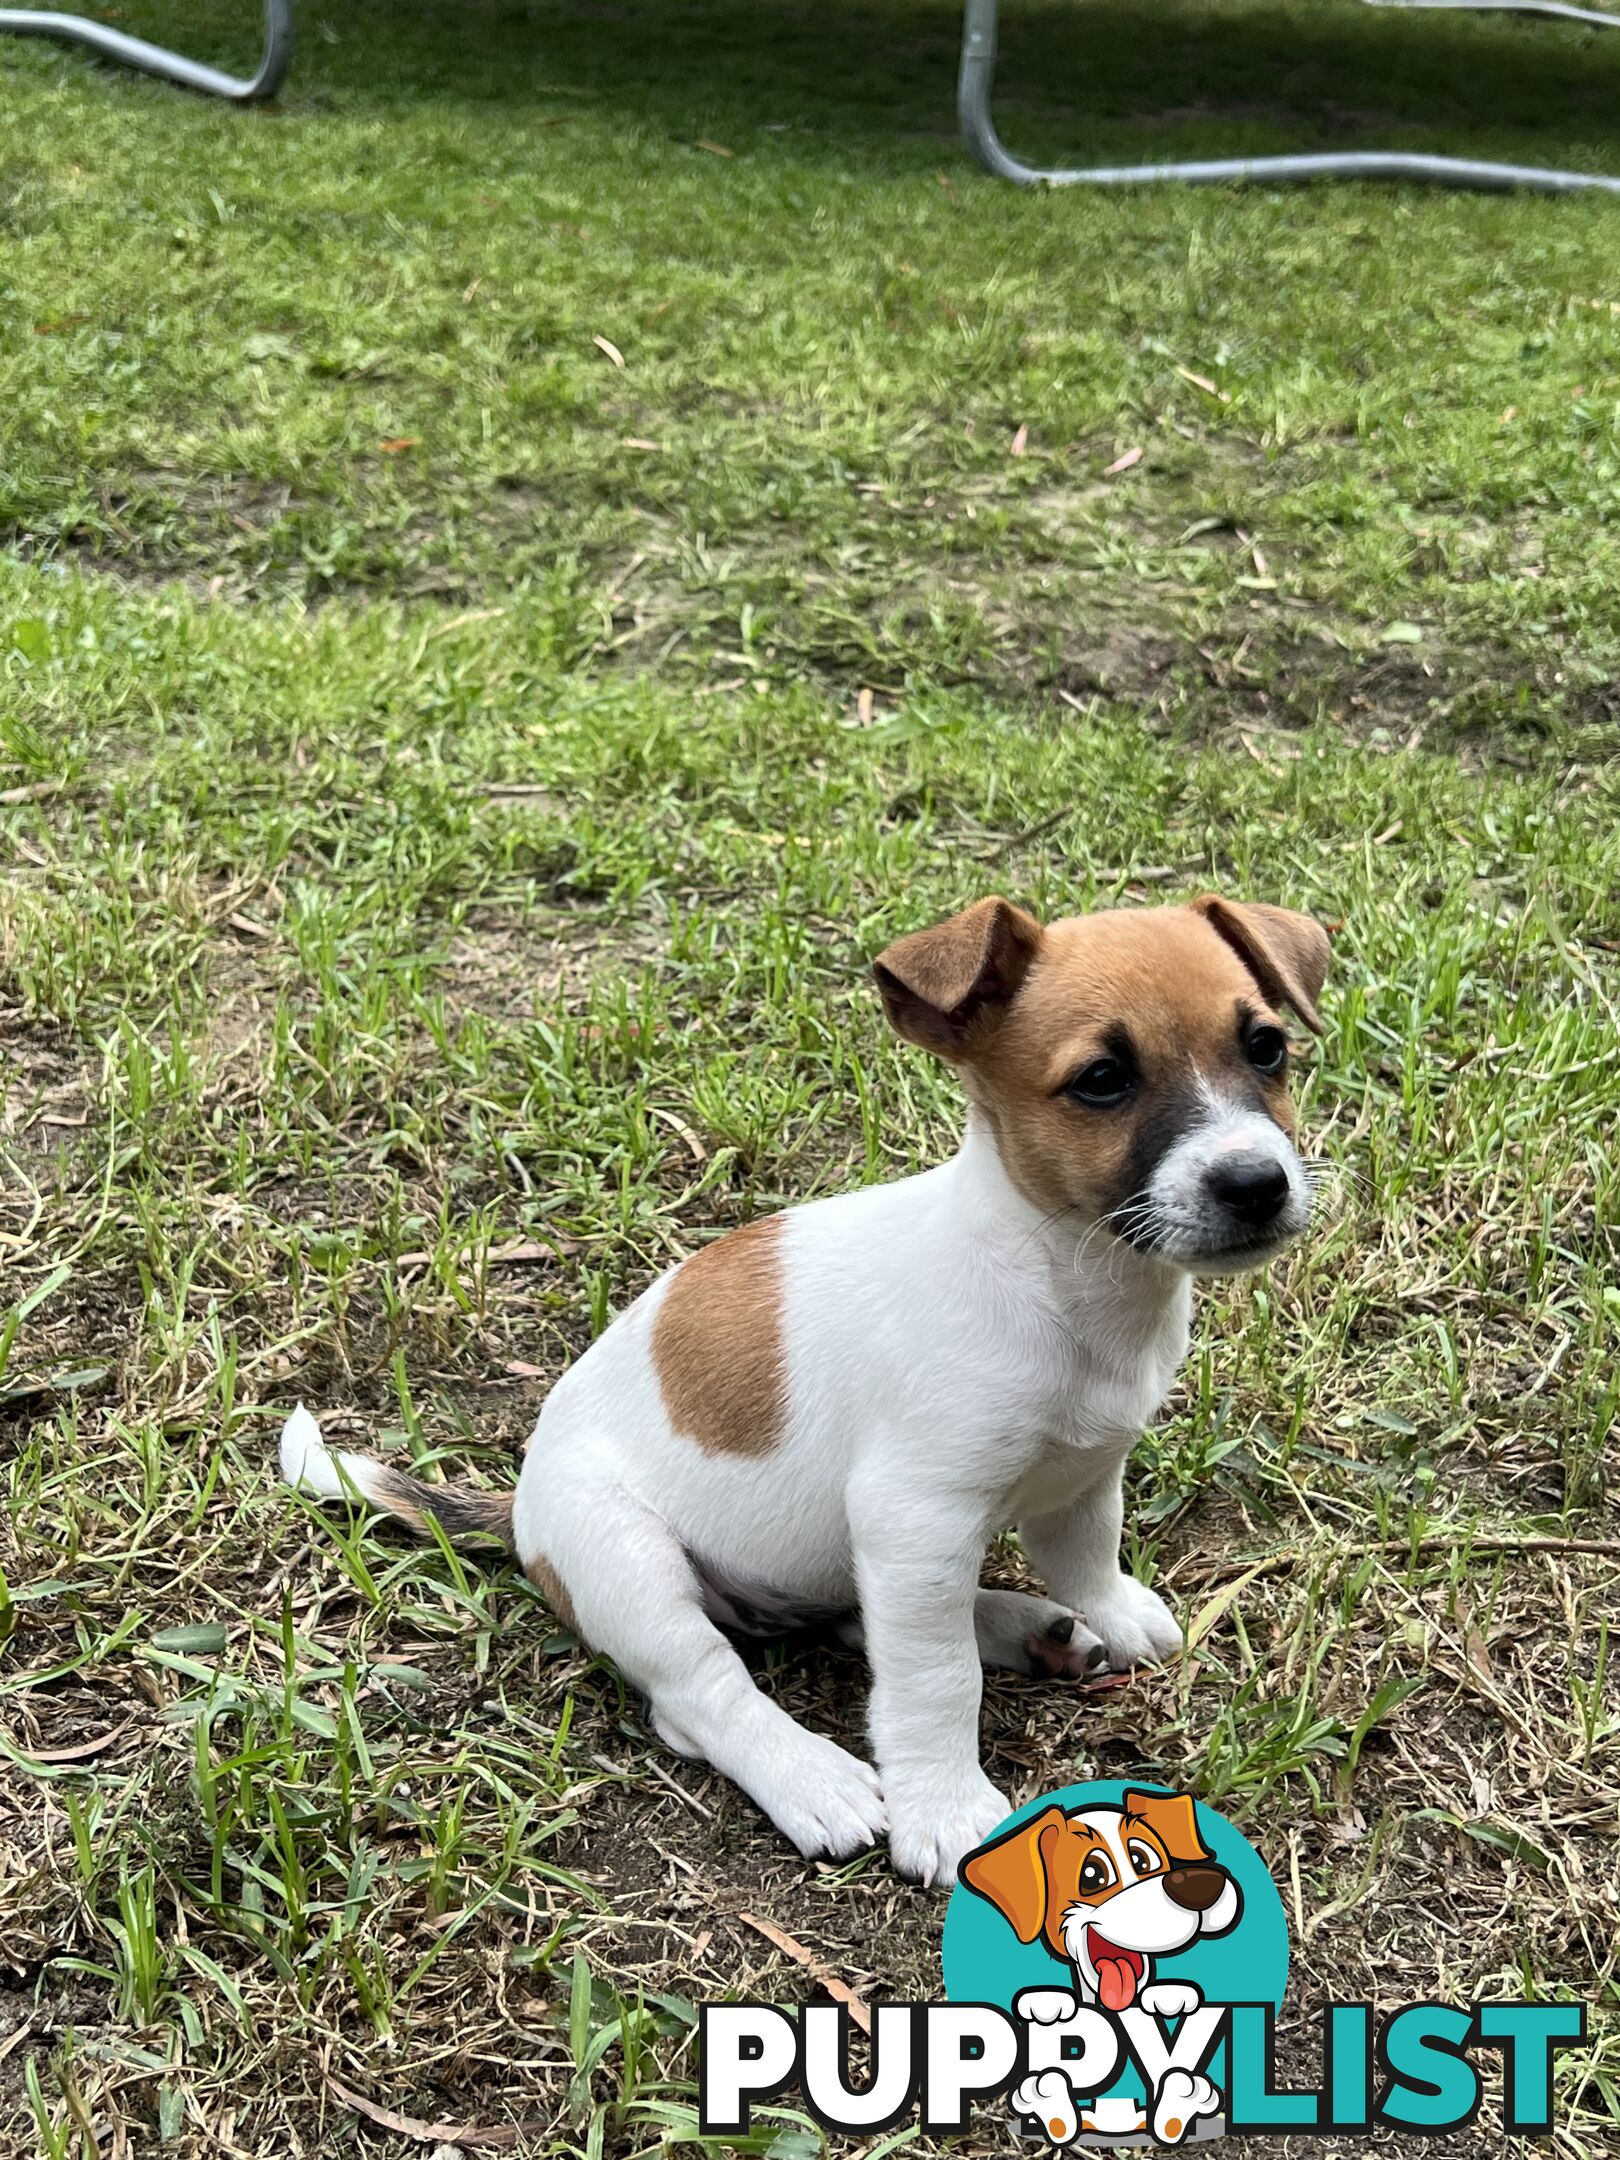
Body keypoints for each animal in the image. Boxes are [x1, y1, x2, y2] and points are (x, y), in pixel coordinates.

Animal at [278, 885, 1330, 1883]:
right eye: (1103, 1081)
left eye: (1267, 1048)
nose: (1255, 1183)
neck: (1060, 1281)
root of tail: (520, 1504)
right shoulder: (915, 1518)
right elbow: (935, 1680)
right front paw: (945, 1808)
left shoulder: (1080, 1473)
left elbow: (1082, 1553)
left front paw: (1106, 1610)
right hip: (632, 1566)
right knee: (705, 1694)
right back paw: (812, 1778)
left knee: (858, 1624)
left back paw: (1032, 1627)